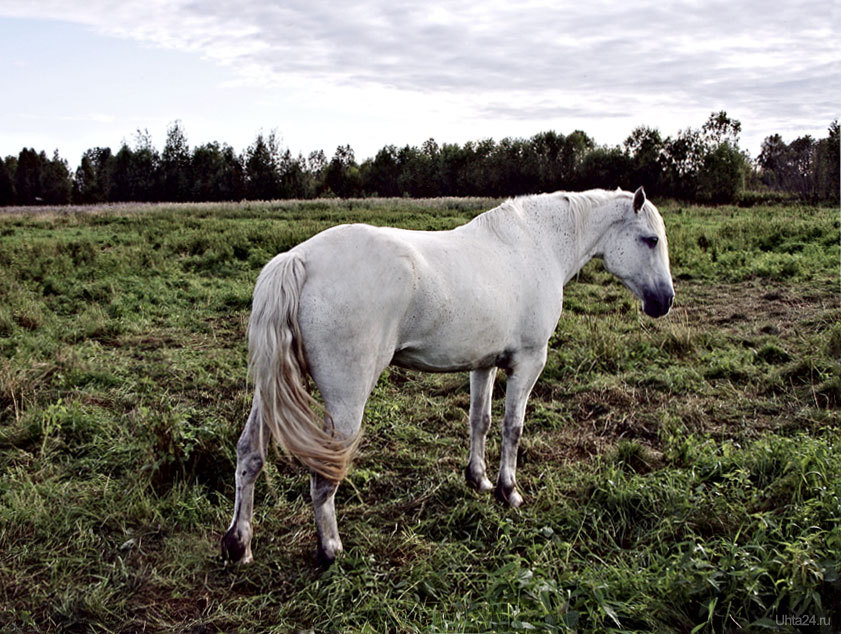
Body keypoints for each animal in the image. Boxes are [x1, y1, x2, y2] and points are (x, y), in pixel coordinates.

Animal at [223, 186, 676, 564]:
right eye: (650, 240)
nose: (665, 301)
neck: (536, 245)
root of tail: (299, 259)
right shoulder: (530, 361)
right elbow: (513, 427)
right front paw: (509, 491)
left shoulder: (484, 363)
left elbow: (481, 420)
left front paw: (479, 480)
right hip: (346, 397)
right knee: (324, 473)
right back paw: (331, 549)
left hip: (271, 391)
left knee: (250, 454)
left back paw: (239, 543)